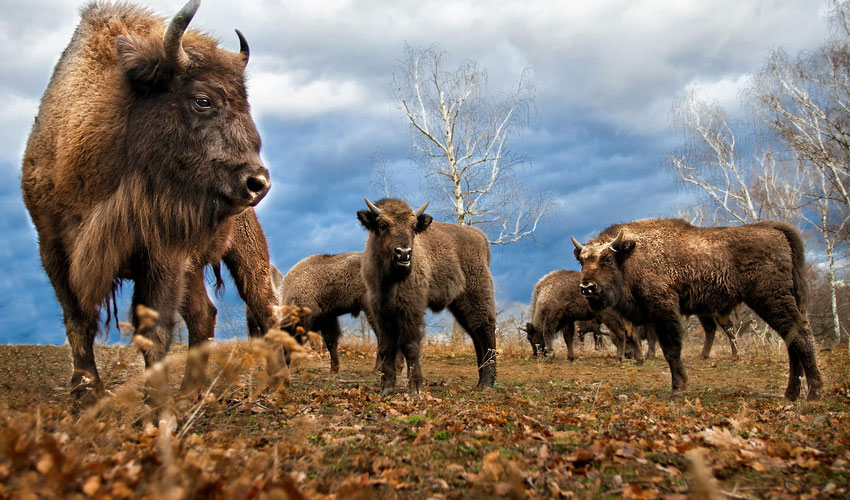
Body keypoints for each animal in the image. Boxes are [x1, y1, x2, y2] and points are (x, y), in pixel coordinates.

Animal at [20, 0, 268, 406]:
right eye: (203, 100)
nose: (257, 183)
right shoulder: (54, 248)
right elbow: (78, 319)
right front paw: (85, 393)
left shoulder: (162, 255)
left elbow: (154, 331)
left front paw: (155, 403)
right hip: (194, 269)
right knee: (203, 314)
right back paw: (191, 392)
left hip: (245, 252)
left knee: (265, 305)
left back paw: (276, 383)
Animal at [356, 197, 496, 392]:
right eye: (383, 224)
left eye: (414, 226)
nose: (404, 253)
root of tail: (480, 237)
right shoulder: (381, 311)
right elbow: (385, 347)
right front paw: (387, 387)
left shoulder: (411, 309)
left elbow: (410, 346)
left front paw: (415, 388)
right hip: (459, 305)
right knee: (476, 334)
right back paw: (480, 380)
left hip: (477, 296)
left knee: (486, 328)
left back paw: (487, 383)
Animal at [568, 219, 820, 402]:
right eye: (582, 261)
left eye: (608, 259)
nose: (587, 287)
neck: (631, 257)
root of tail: (775, 229)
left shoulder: (664, 310)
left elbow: (671, 350)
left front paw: (678, 389)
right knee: (792, 339)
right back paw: (791, 393)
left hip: (771, 299)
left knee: (800, 337)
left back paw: (814, 393)